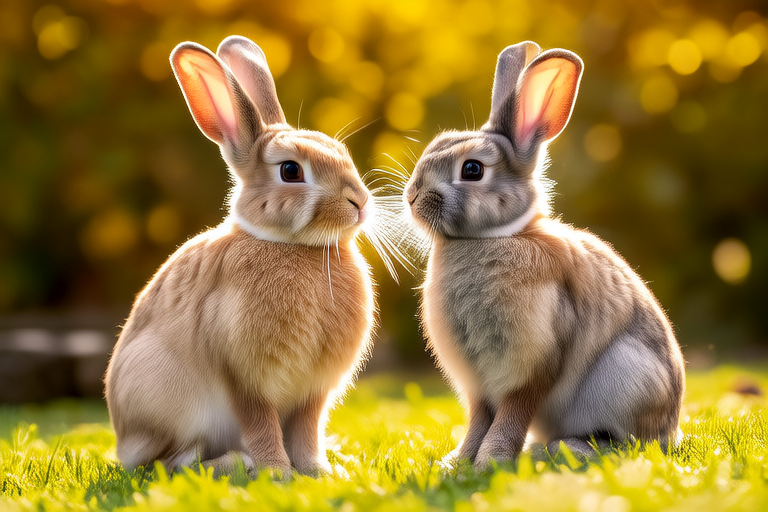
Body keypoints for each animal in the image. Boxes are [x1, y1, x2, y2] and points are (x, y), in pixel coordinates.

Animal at [104, 35, 375, 476]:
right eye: (291, 171)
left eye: (341, 150)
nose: (360, 203)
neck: (294, 246)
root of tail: (124, 442)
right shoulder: (244, 379)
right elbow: (261, 424)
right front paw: (278, 472)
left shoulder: (312, 392)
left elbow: (307, 430)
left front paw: (318, 471)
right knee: (171, 461)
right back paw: (236, 463)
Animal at [404, 41, 685, 469]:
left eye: (472, 170)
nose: (414, 196)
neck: (490, 237)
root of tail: (671, 429)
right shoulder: (477, 385)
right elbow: (479, 418)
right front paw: (459, 461)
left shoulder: (533, 363)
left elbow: (511, 413)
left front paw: (493, 461)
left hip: (626, 375)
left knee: (625, 442)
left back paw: (562, 449)